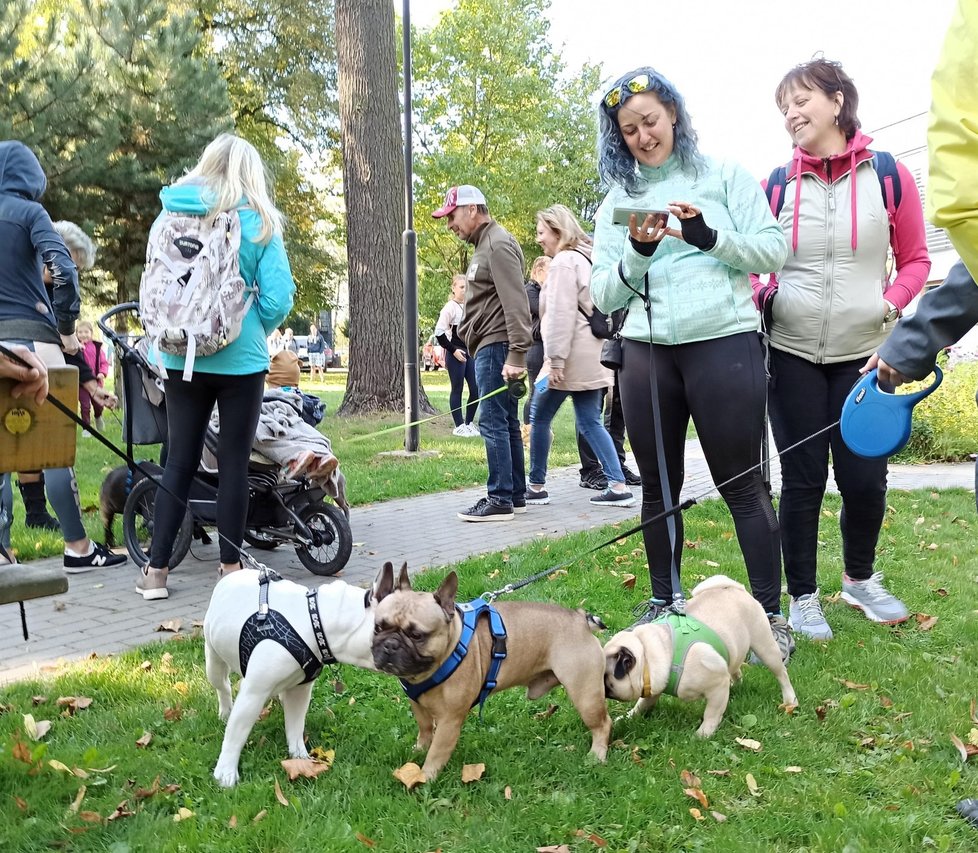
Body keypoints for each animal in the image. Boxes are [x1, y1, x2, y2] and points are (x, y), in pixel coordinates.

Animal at [202, 564, 378, 784]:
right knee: (222, 685)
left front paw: (300, 757)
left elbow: (295, 724)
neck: (315, 620)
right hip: (213, 657)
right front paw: (226, 770)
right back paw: (226, 712)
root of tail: (230, 577)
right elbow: (236, 732)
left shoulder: (300, 691)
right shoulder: (253, 693)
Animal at [368, 564, 608, 784]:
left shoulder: (450, 720)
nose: (390, 645)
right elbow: (425, 729)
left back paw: (596, 756)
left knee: (602, 725)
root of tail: (580, 618)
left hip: (585, 695)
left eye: (417, 635)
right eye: (378, 627)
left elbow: (437, 751)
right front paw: (418, 750)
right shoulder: (418, 705)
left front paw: (425, 776)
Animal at [604, 572, 792, 740]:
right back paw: (736, 685)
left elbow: (712, 713)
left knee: (781, 674)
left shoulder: (717, 685)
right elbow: (642, 704)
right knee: (735, 669)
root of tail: (735, 587)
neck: (649, 654)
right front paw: (628, 717)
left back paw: (790, 700)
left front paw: (703, 734)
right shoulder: (654, 686)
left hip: (764, 646)